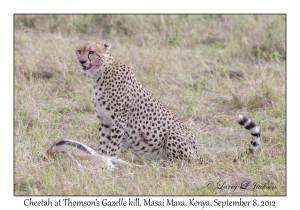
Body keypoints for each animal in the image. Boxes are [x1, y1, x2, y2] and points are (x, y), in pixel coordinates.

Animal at [71, 41, 258, 166]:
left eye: (91, 52)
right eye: (79, 51)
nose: (81, 61)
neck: (100, 73)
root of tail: (197, 152)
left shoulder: (118, 120)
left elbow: (112, 145)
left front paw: (110, 159)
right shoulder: (104, 120)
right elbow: (103, 144)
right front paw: (101, 159)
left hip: (173, 136)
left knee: (185, 163)